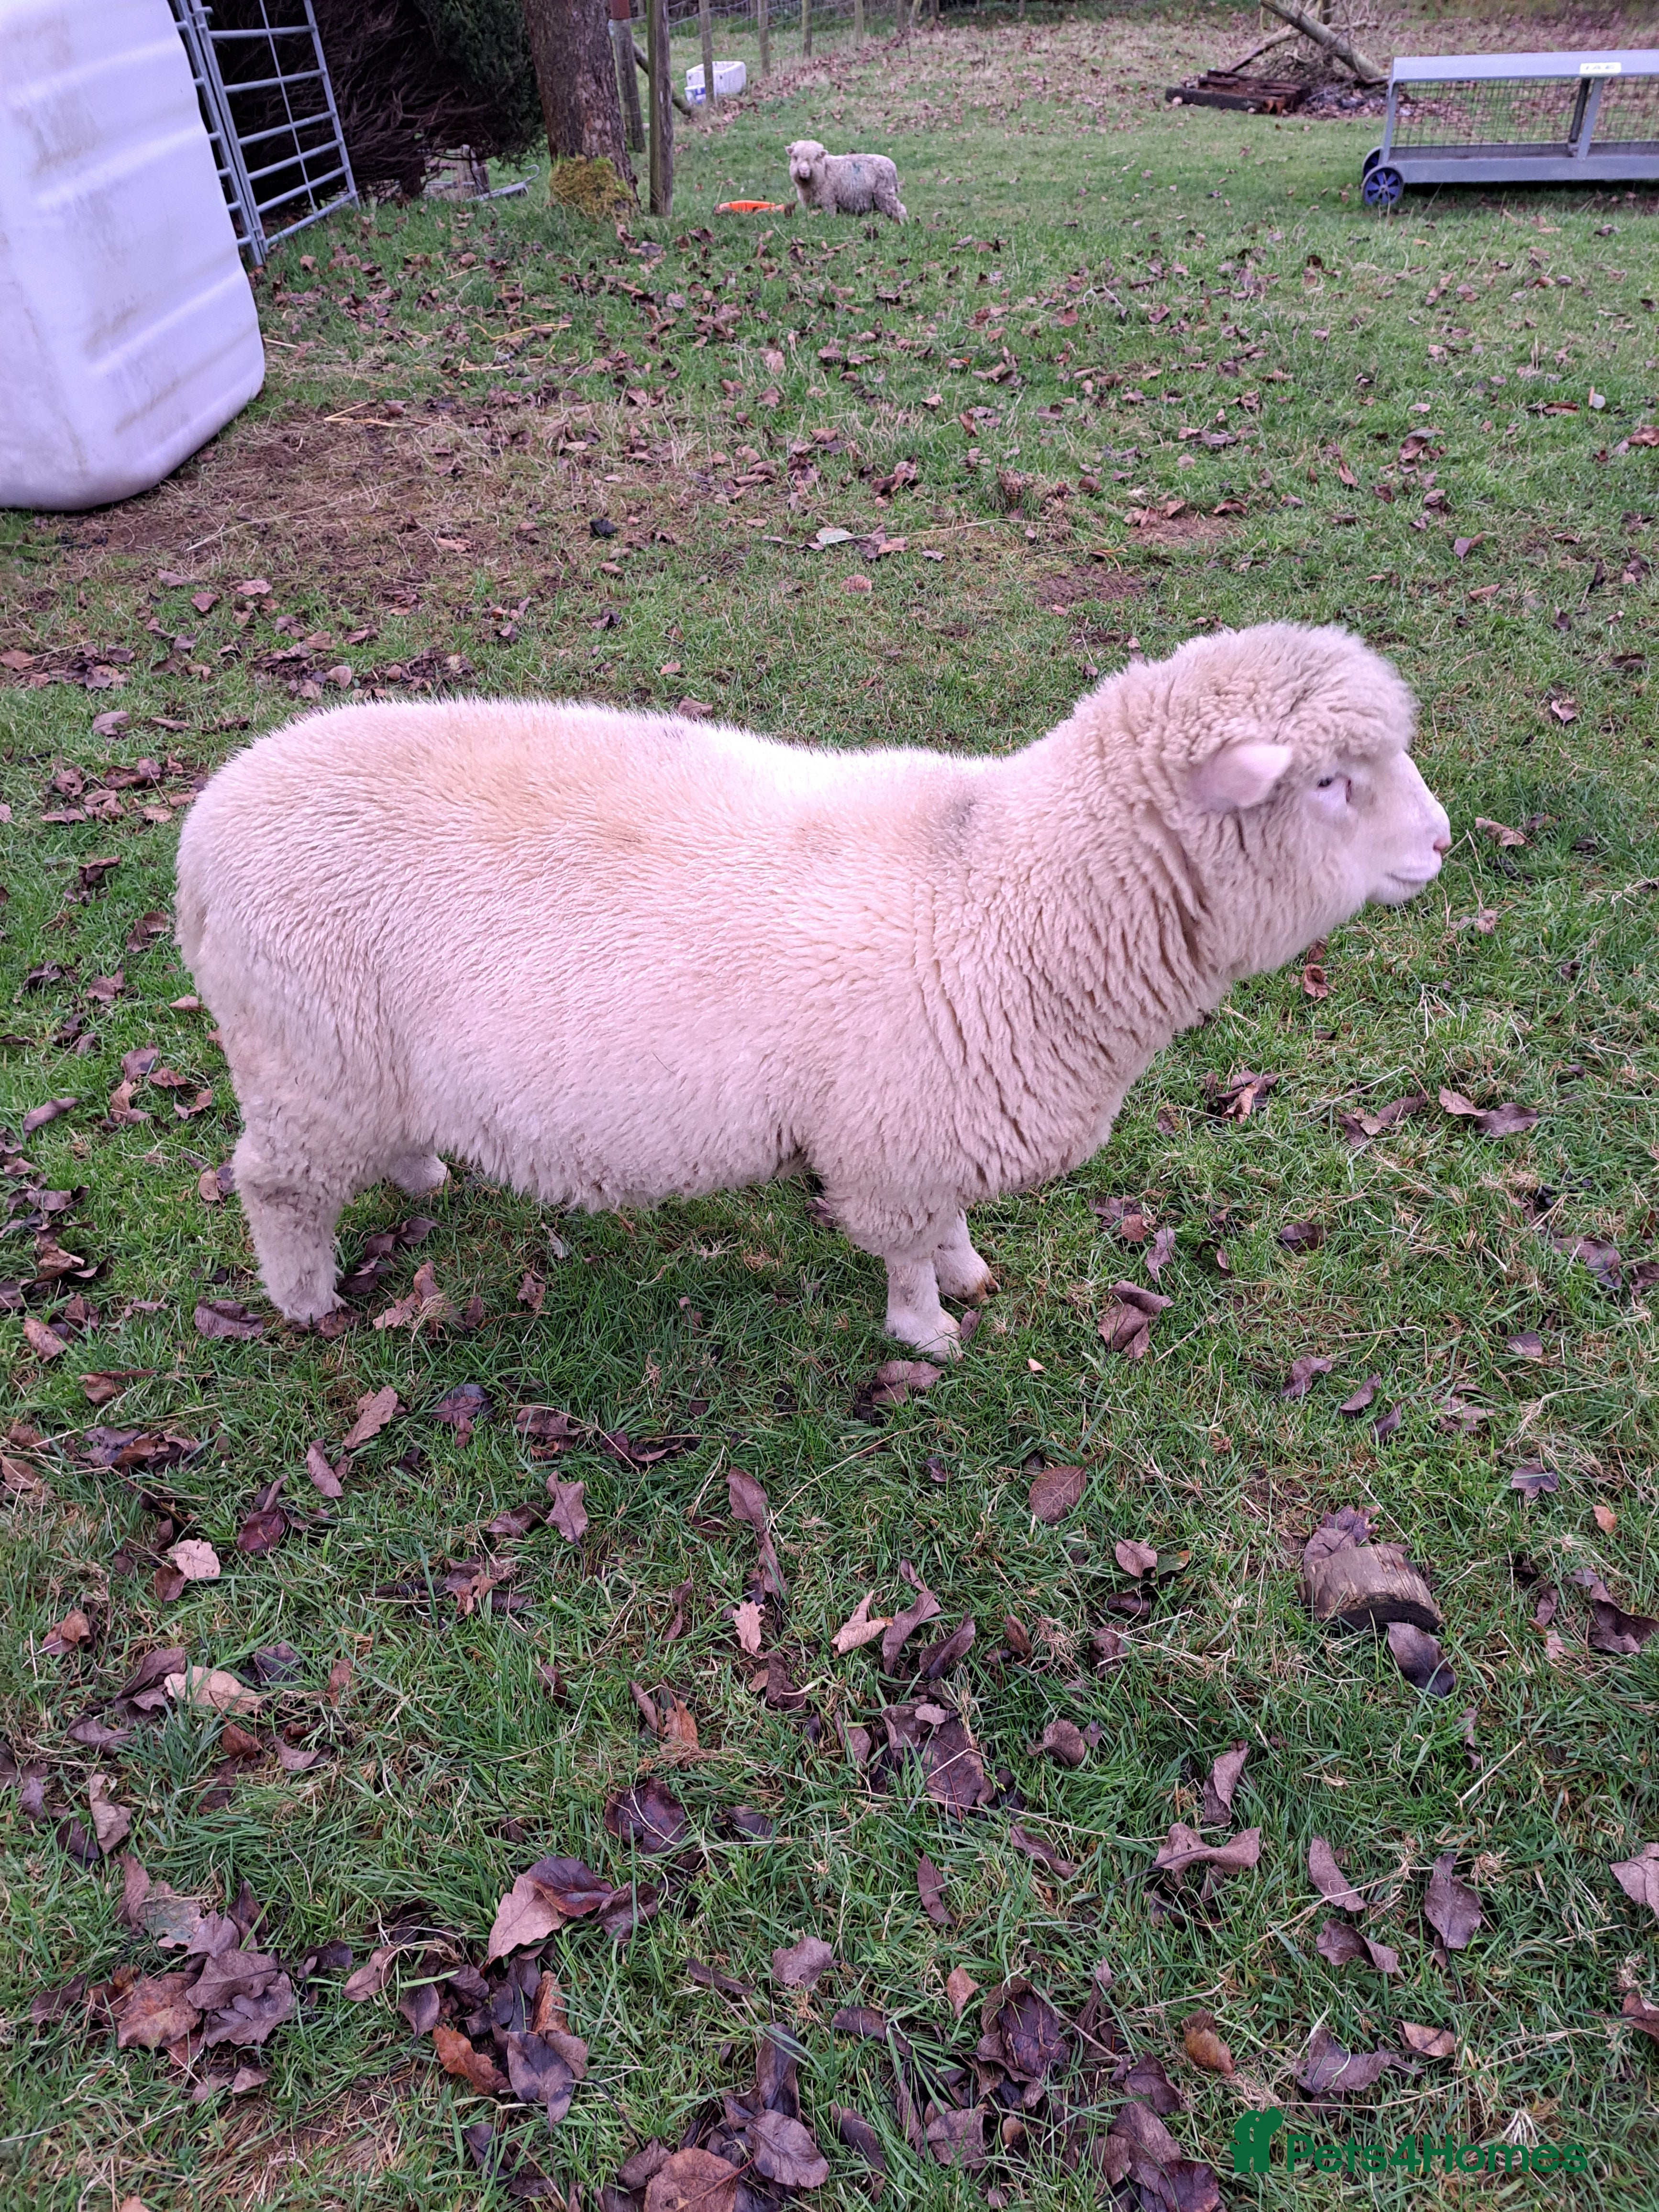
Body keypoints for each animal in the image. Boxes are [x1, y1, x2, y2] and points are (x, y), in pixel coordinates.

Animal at [175, 623, 1449, 1355]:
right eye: (1328, 782)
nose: (1440, 841)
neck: (1006, 891)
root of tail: (204, 826)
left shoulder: (938, 1118)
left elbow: (946, 1220)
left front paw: (970, 1272)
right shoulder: (892, 1130)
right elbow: (901, 1248)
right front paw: (926, 1331)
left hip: (354, 1060)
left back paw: (424, 1172)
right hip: (304, 1054)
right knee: (275, 1185)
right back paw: (305, 1300)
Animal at [786, 140, 907, 221]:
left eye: (816, 158)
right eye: (795, 157)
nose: (803, 171)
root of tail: (892, 165)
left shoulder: (828, 201)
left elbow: (830, 216)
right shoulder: (807, 203)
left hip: (884, 193)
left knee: (900, 209)